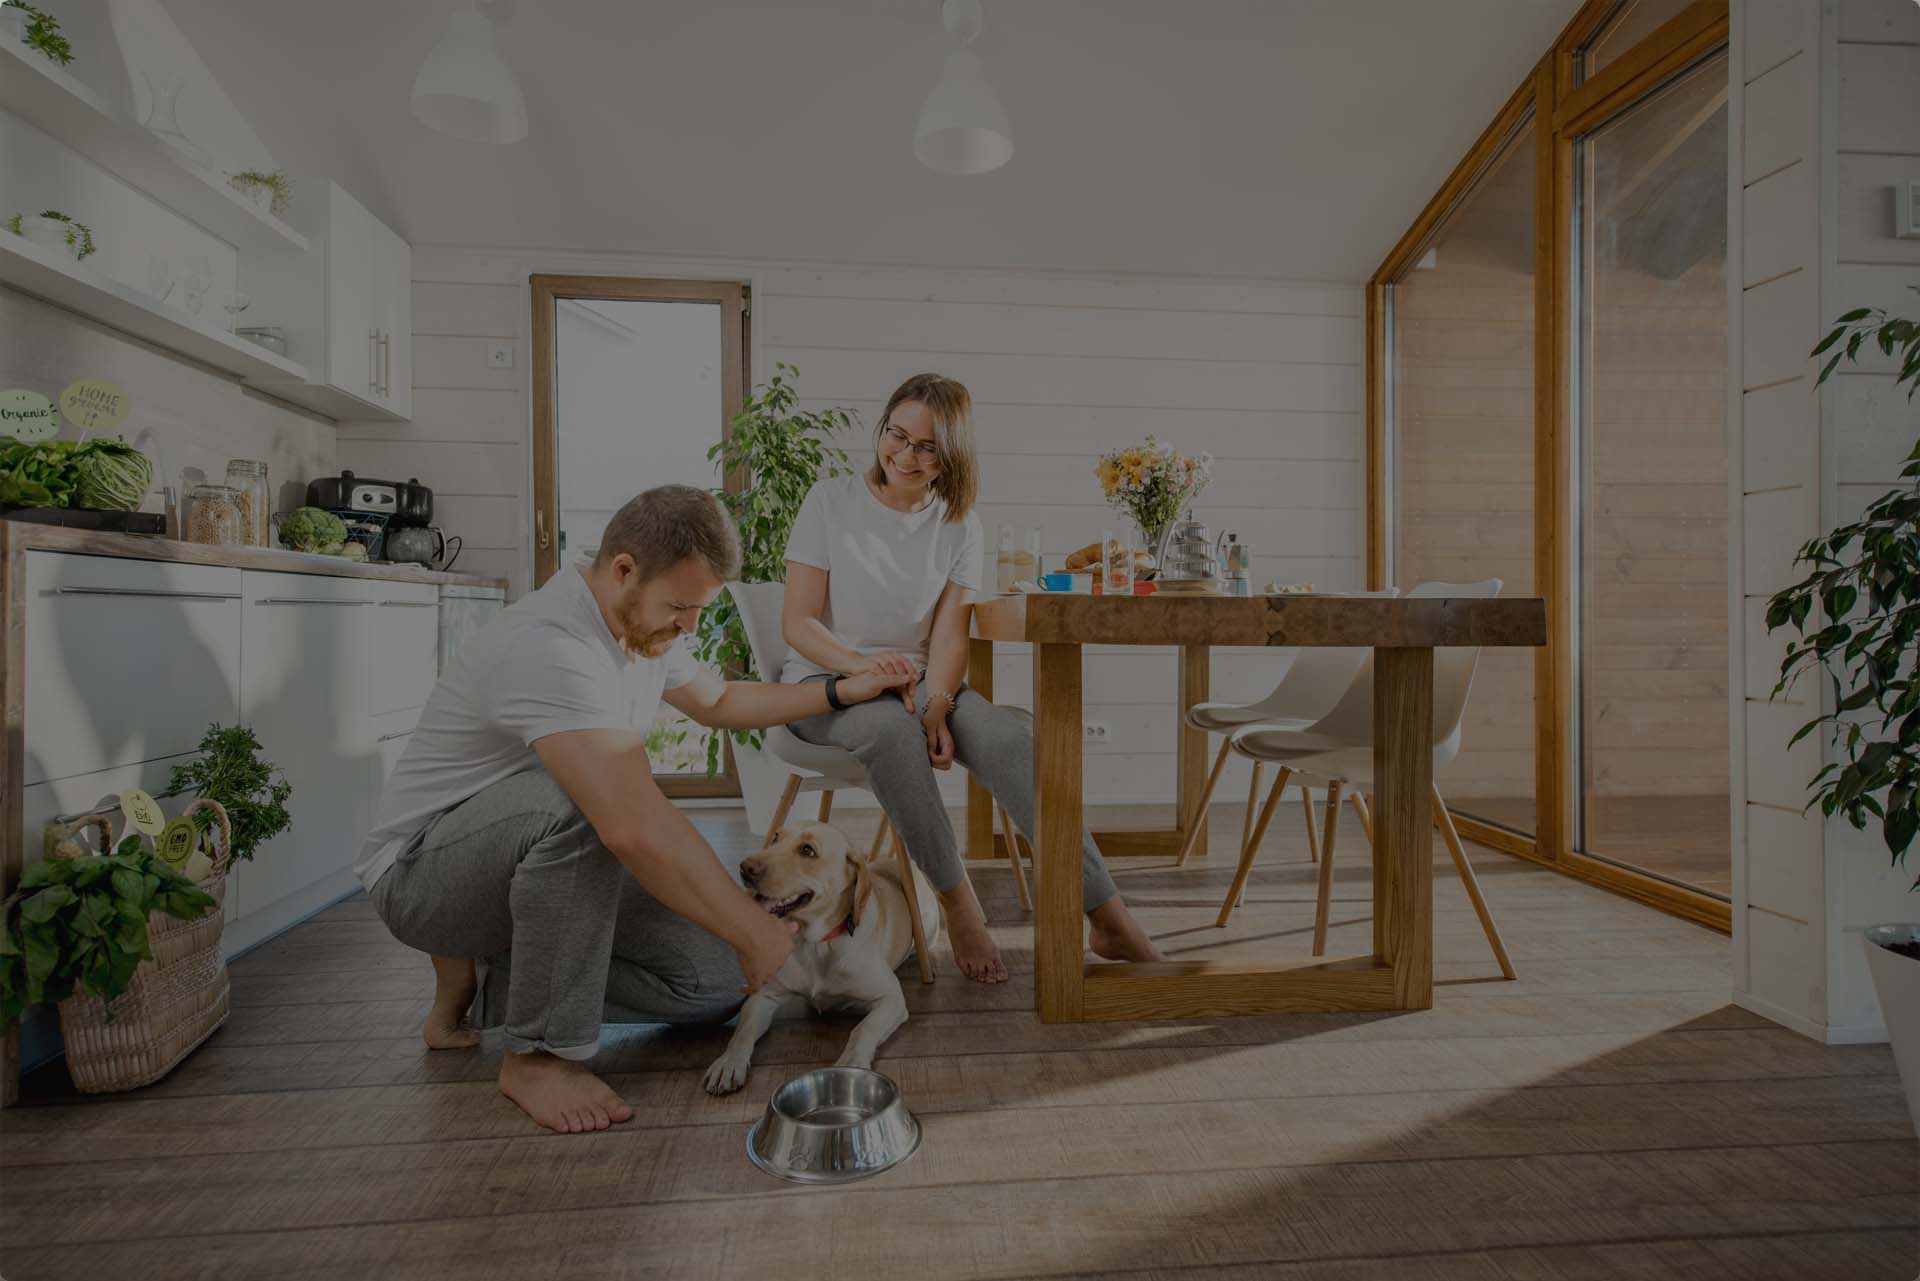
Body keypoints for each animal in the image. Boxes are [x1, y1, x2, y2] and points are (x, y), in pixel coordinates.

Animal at [706, 825, 944, 1098]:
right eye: (775, 838)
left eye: (807, 850)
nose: (745, 867)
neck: (816, 944)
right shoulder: (763, 996)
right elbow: (742, 1032)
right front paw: (728, 1062)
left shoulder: (891, 998)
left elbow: (863, 1029)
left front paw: (852, 1062)